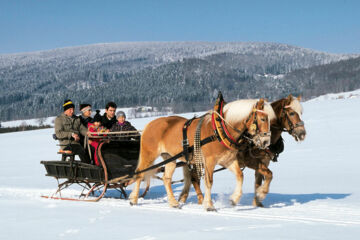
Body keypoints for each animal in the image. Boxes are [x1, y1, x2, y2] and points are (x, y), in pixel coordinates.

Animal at [129, 96, 276, 211]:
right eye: (263, 119)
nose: (266, 141)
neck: (220, 130)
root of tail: (149, 124)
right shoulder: (209, 161)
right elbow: (209, 182)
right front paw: (209, 205)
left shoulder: (228, 160)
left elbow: (240, 176)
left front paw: (234, 199)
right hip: (149, 154)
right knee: (140, 173)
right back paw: (134, 199)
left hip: (169, 158)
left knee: (166, 179)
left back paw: (174, 203)